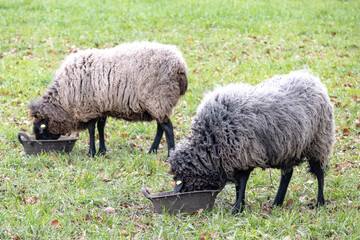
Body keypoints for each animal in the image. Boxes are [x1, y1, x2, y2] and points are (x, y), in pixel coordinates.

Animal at [28, 41, 188, 158]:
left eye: (40, 129)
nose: (42, 151)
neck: (64, 101)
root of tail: (180, 67)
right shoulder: (101, 107)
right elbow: (100, 127)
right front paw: (101, 151)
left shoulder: (88, 107)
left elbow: (91, 129)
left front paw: (91, 153)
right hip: (157, 104)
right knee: (161, 127)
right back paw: (151, 151)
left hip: (159, 99)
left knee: (168, 128)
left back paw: (169, 155)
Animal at [169, 71, 334, 214]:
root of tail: (311, 78)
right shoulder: (235, 159)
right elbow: (238, 185)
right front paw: (238, 205)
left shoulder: (244, 154)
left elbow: (242, 182)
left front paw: (237, 209)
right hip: (288, 148)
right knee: (287, 174)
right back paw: (277, 203)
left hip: (319, 142)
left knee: (319, 173)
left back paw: (319, 202)